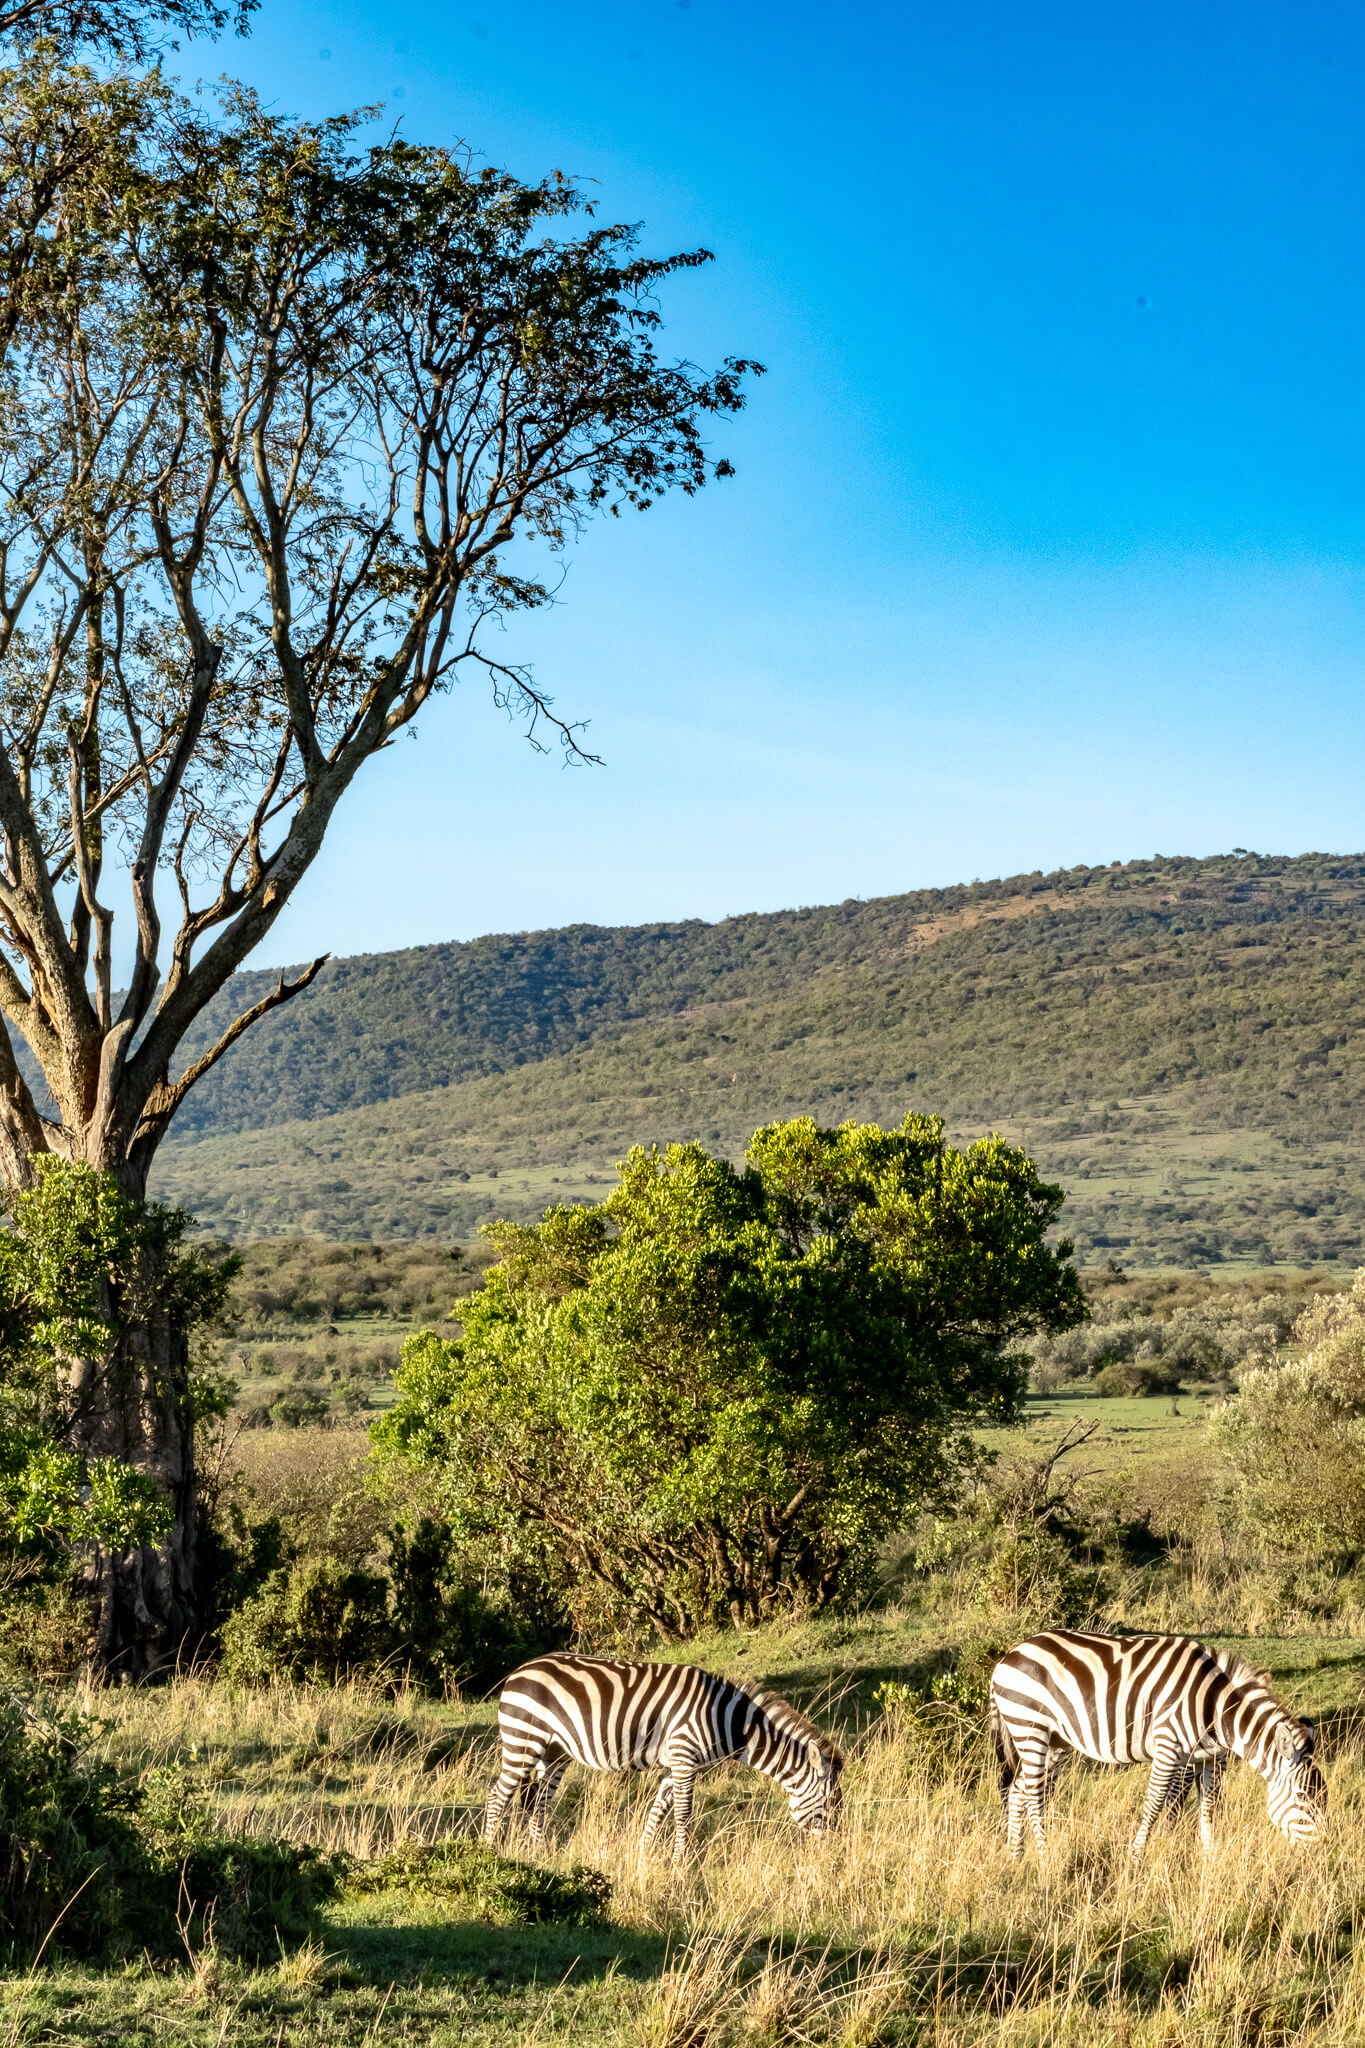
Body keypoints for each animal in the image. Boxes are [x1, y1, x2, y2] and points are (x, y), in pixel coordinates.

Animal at [483, 1652, 843, 1861]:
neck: (728, 1721)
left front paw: (643, 1858)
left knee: (540, 1799)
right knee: (497, 1796)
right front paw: (681, 1864)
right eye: (831, 1803)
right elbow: (683, 1814)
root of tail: (521, 1669)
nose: (836, 1854)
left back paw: (539, 1853)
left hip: (555, 1751)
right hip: (522, 1739)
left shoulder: (676, 1765)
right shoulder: (684, 1756)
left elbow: (658, 1811)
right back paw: (488, 1852)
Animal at [989, 1627, 1326, 1860]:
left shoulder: (1207, 1758)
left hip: (1054, 1739)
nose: (1322, 1852)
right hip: (1029, 1727)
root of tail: (1008, 1656)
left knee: (1019, 1789)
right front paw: (1136, 1858)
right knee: (1033, 1794)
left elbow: (1207, 1805)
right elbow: (1156, 1803)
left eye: (1323, 1795)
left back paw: (1016, 1856)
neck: (1215, 1708)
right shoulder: (1169, 1747)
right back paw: (1045, 1859)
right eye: (1302, 1796)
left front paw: (1208, 1857)